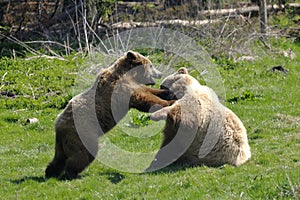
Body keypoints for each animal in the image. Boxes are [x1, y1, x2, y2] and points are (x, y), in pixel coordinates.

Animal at [45, 50, 175, 179]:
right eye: (151, 65)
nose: (160, 73)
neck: (129, 74)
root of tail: (58, 124)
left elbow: (146, 91)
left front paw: (167, 92)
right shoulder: (121, 89)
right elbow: (143, 98)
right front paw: (169, 102)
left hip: (63, 141)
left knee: (59, 158)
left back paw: (50, 172)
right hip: (82, 132)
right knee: (83, 153)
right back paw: (72, 173)